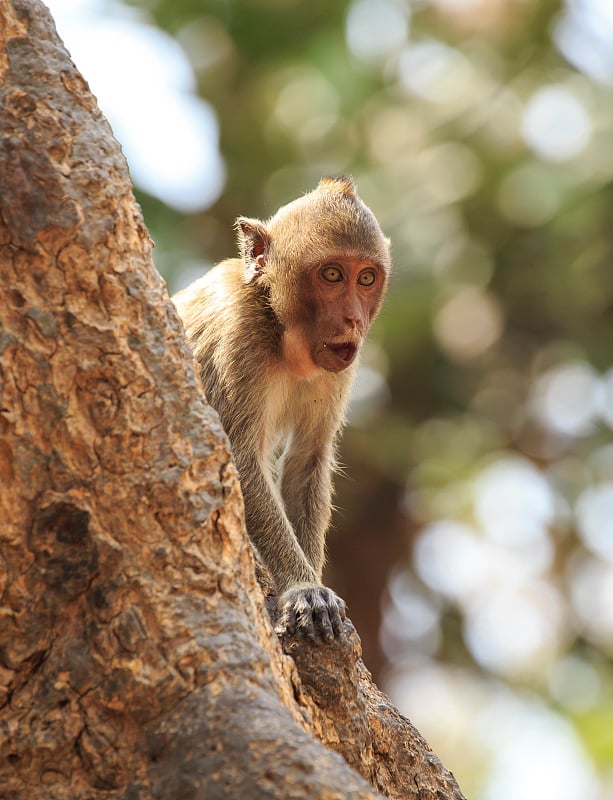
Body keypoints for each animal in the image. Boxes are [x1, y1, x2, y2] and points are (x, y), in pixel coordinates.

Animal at [173, 177, 392, 644]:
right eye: (332, 275)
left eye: (366, 278)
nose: (353, 319)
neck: (279, 325)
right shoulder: (239, 336)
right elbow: (236, 458)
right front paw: (304, 588)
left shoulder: (339, 368)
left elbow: (307, 460)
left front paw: (310, 583)